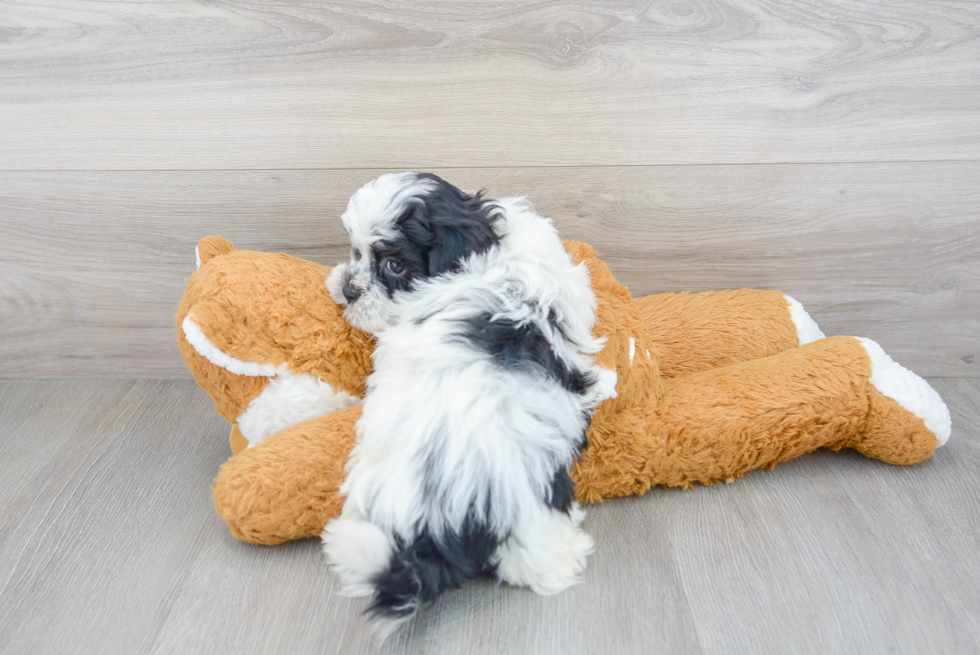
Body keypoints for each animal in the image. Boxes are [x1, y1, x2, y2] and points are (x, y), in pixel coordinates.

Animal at [322, 172, 616, 640]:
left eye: (393, 266)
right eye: (356, 252)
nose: (348, 290)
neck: (487, 253)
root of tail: (436, 514)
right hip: (530, 499)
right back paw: (565, 561)